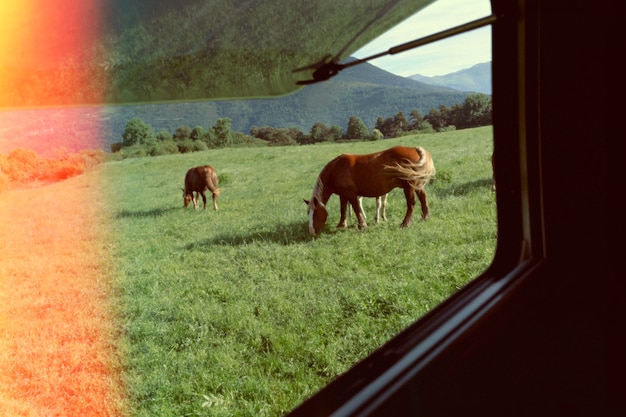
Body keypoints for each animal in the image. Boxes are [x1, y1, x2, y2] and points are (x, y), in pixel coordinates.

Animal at [304, 145, 434, 236]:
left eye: (316, 214)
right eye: (308, 212)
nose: (311, 232)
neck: (336, 169)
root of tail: (414, 149)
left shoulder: (351, 194)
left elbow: (356, 209)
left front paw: (362, 225)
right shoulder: (343, 194)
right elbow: (343, 209)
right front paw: (342, 224)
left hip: (409, 187)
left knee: (411, 204)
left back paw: (405, 223)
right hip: (417, 185)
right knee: (423, 197)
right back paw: (425, 217)